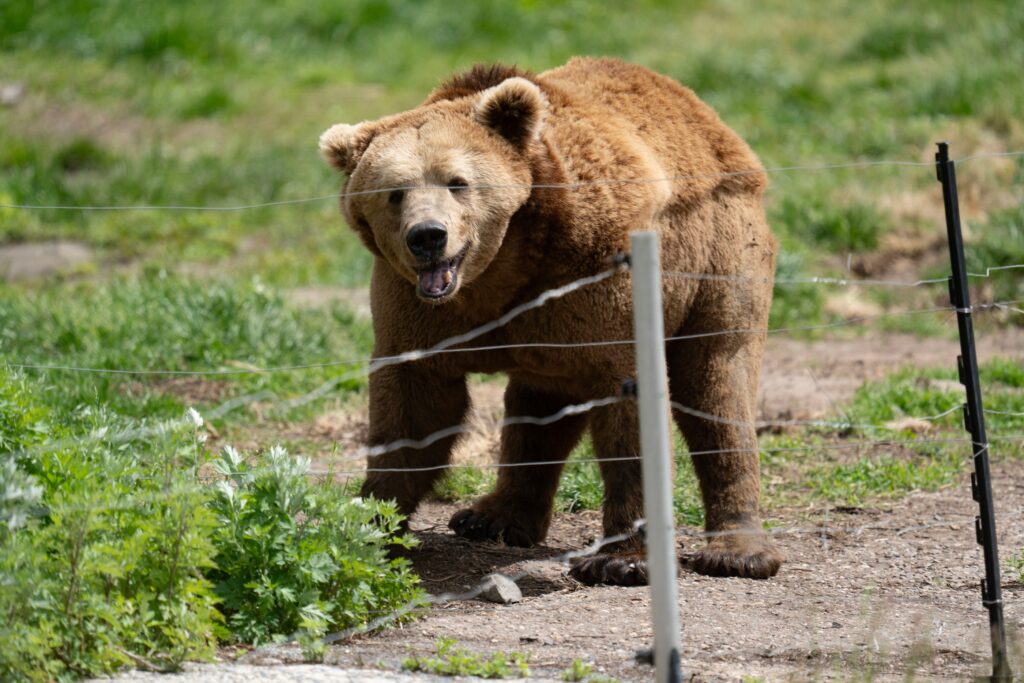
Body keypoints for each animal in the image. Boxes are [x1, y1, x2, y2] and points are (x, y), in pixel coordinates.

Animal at [319, 57, 782, 584]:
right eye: (395, 192)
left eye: (457, 181)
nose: (428, 236)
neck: (503, 269)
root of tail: (705, 116)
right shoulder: (419, 311)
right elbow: (414, 413)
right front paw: (370, 526)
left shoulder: (598, 274)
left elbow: (629, 410)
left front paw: (620, 560)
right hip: (551, 342)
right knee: (540, 407)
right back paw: (492, 517)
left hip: (718, 255)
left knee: (717, 381)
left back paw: (738, 550)